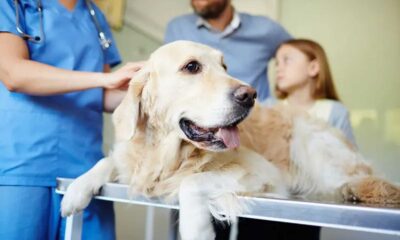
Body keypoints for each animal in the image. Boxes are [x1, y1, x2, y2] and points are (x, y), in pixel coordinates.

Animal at [60, 40, 400, 239]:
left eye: (225, 66)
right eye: (192, 66)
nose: (249, 95)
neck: (171, 154)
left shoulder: (264, 173)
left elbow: (191, 183)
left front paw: (196, 230)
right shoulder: (135, 162)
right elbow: (107, 161)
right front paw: (75, 191)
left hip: (309, 140)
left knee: (358, 177)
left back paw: (357, 189)